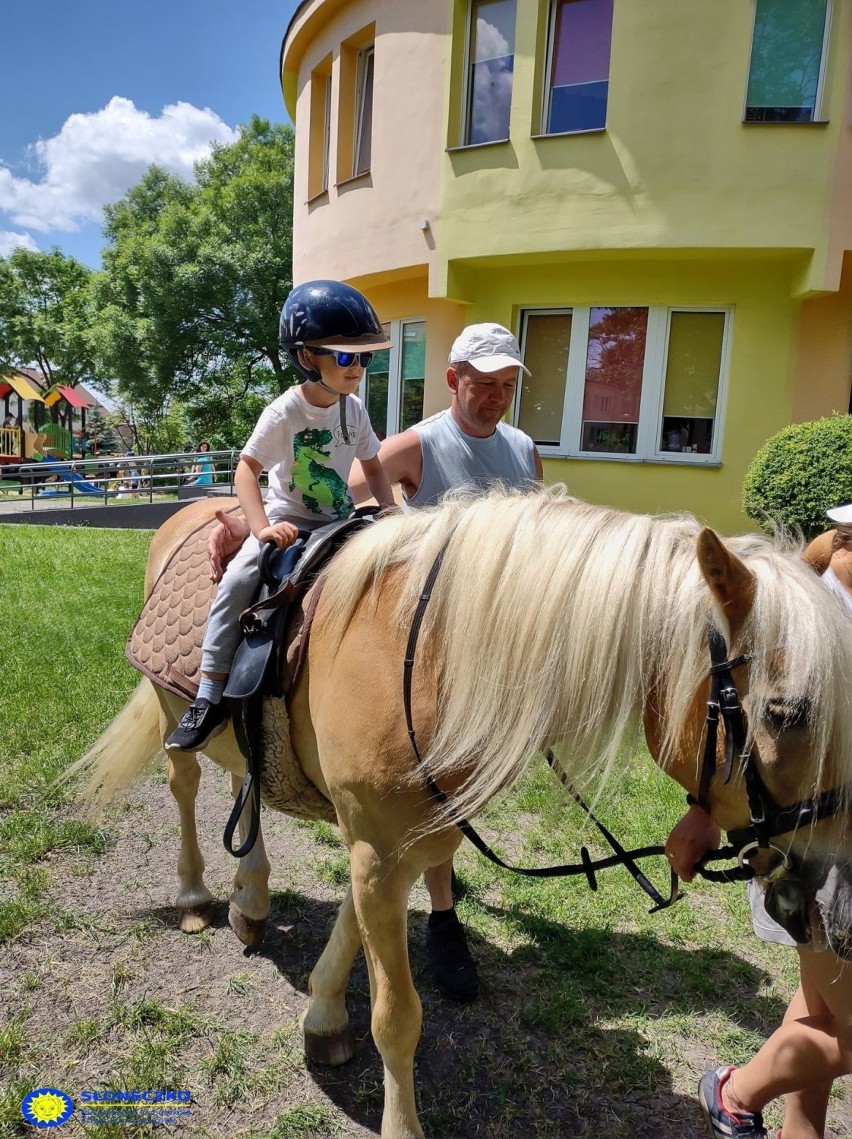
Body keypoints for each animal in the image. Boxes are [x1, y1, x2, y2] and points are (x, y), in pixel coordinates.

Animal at [71, 487, 852, 1139]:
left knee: (246, 784)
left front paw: (323, 1014)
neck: (430, 661)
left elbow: (351, 931)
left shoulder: (402, 841)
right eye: (785, 712)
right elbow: (397, 1015)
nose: (822, 884)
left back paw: (250, 899)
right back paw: (197, 894)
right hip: (173, 710)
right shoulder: (377, 850)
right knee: (184, 785)